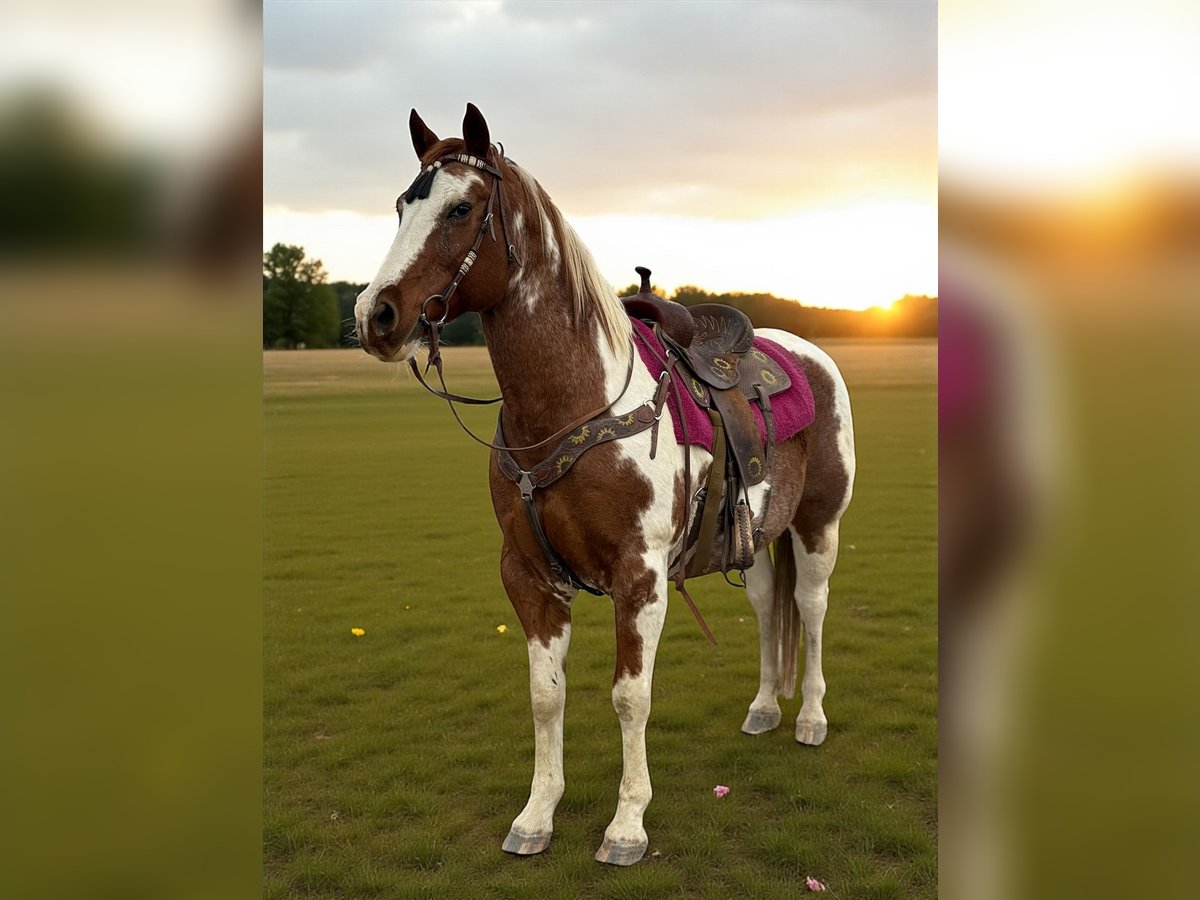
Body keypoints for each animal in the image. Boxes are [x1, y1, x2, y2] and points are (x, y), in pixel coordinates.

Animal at [354, 103, 856, 866]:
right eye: (401, 207)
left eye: (461, 208)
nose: (373, 314)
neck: (573, 405)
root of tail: (809, 354)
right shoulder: (527, 574)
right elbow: (545, 695)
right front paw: (536, 815)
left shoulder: (639, 577)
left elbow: (629, 697)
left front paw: (626, 826)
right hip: (755, 538)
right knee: (771, 606)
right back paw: (767, 706)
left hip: (818, 523)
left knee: (813, 606)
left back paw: (812, 718)